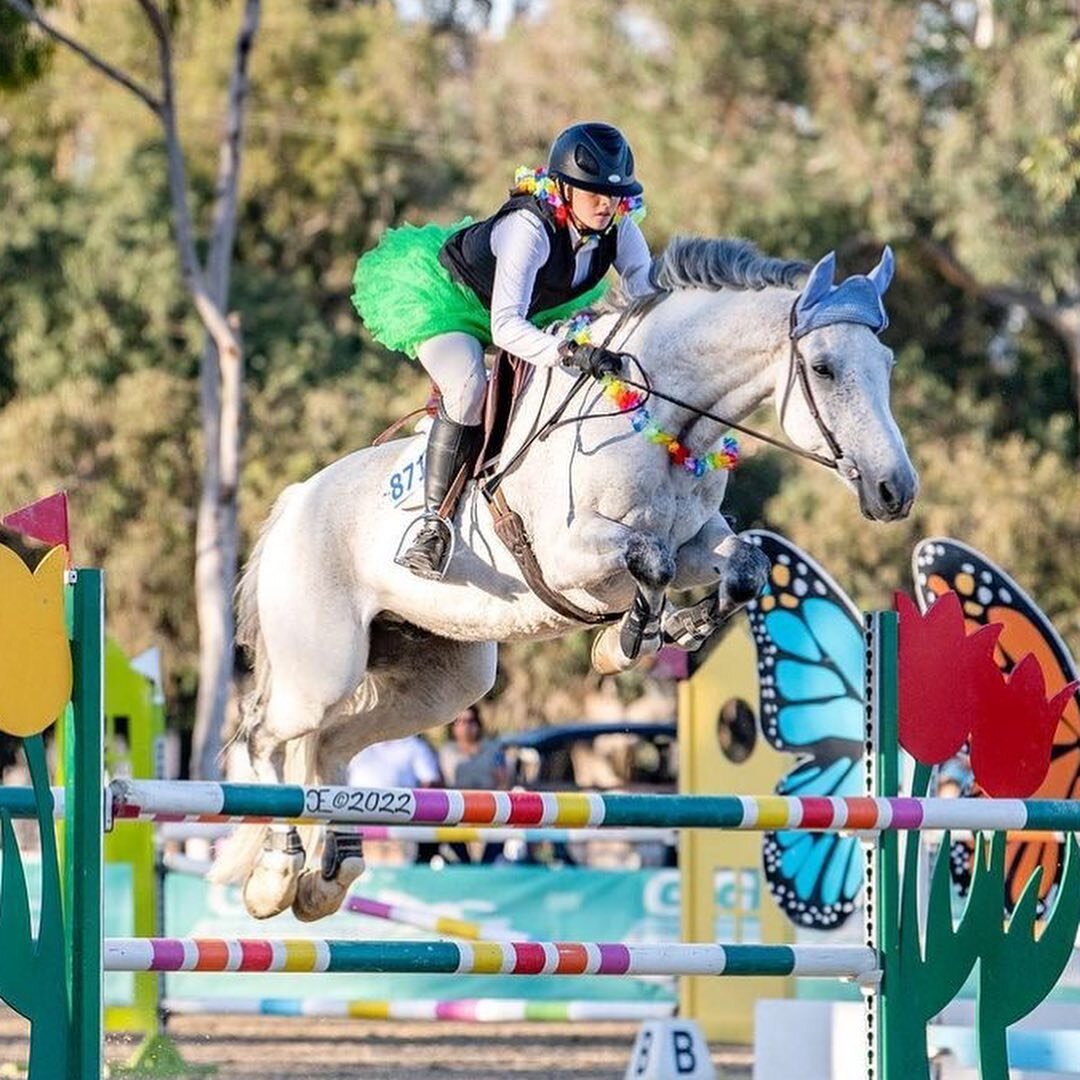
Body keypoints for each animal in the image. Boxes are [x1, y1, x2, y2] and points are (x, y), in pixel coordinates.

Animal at [212, 236, 920, 920]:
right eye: (824, 367)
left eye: (888, 367)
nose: (896, 492)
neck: (657, 423)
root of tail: (293, 503)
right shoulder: (569, 553)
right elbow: (650, 561)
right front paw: (626, 641)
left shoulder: (697, 542)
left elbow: (742, 568)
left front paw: (667, 631)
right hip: (321, 669)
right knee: (263, 738)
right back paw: (276, 876)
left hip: (440, 682)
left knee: (330, 747)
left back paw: (328, 880)